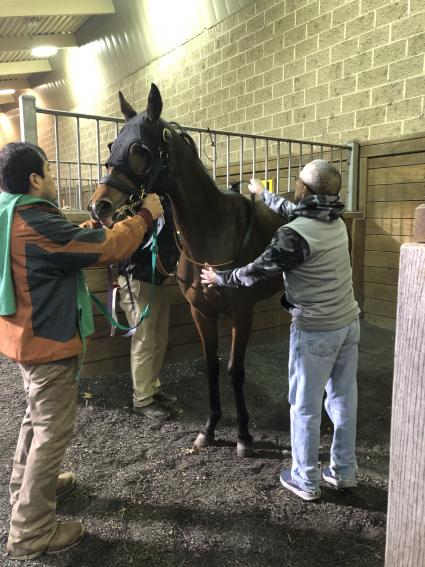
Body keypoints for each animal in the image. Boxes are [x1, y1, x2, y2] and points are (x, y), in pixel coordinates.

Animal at [88, 84, 284, 458]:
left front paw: (243, 436)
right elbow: (211, 367)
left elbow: (235, 370)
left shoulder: (242, 313)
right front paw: (208, 430)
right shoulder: (200, 312)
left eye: (138, 148)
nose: (98, 206)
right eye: (111, 145)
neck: (214, 232)